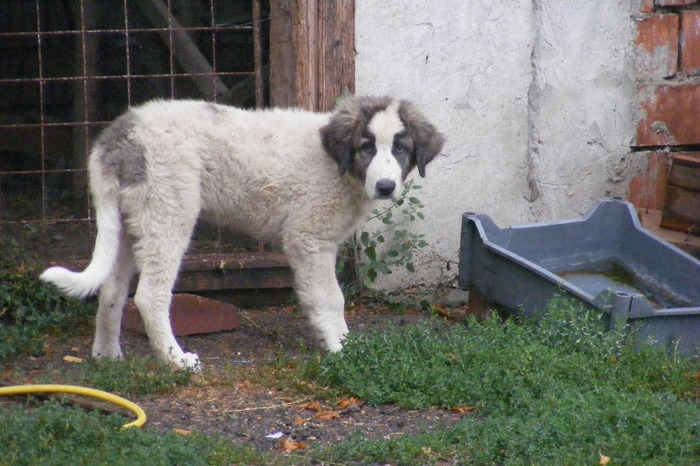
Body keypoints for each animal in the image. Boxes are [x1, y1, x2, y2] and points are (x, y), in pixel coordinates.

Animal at [39, 95, 442, 372]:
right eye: (366, 147)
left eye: (401, 148)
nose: (387, 187)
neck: (338, 166)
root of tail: (119, 136)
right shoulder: (309, 239)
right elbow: (330, 298)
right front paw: (344, 348)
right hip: (168, 211)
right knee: (150, 296)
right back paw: (175, 361)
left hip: (130, 222)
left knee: (112, 292)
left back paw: (107, 357)